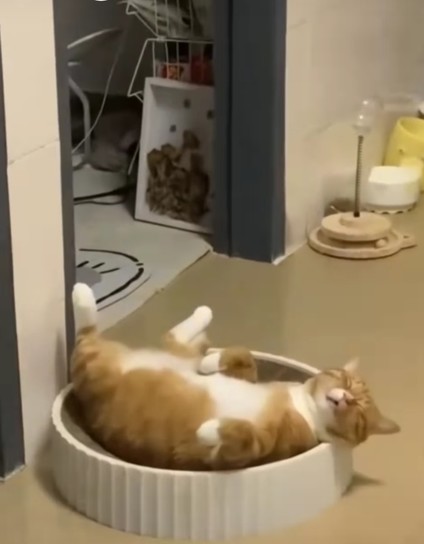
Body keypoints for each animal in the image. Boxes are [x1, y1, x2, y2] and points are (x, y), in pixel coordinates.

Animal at [71, 282, 400, 470]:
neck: (301, 406)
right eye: (346, 383)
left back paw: (81, 292)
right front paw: (212, 363)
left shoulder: (255, 449)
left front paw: (209, 429)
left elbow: (243, 434)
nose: (342, 398)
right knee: (174, 338)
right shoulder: (247, 375)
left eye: (358, 411)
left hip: (93, 367)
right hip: (169, 355)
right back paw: (202, 318)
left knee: (85, 335)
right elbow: (244, 358)